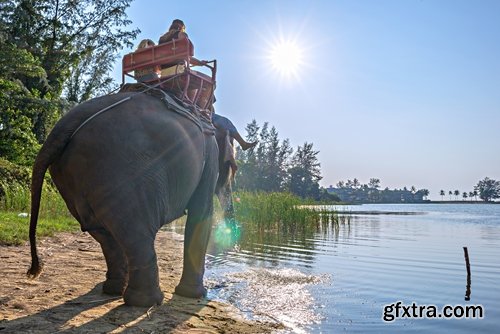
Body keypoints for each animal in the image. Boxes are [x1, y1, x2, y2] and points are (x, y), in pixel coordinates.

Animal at [26, 87, 236, 306]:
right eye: (231, 165)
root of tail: (62, 127)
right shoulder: (209, 154)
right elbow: (201, 212)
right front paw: (195, 295)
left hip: (79, 179)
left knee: (104, 232)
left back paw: (114, 290)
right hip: (123, 172)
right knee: (136, 234)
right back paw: (146, 301)